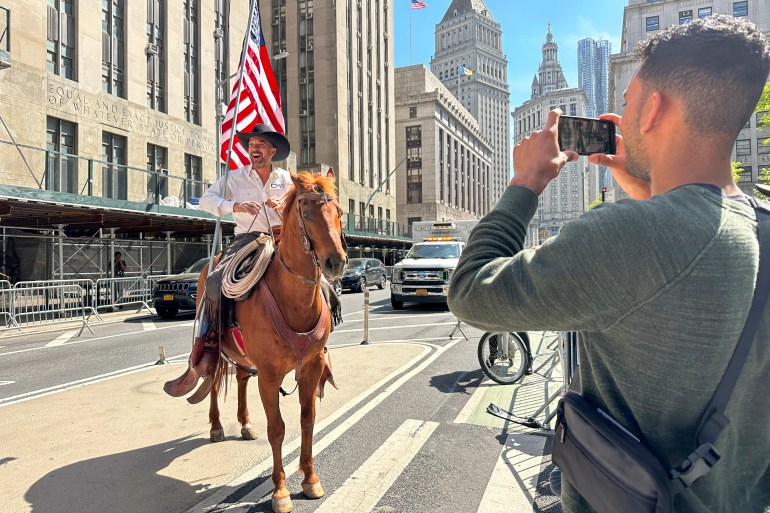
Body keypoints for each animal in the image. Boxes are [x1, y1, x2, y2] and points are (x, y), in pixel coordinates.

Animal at [198, 170, 344, 510]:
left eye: (340, 213)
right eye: (307, 214)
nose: (336, 262)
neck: (293, 297)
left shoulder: (312, 366)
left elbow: (307, 420)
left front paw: (310, 479)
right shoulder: (268, 374)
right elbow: (277, 429)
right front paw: (280, 491)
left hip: (241, 355)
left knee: (240, 379)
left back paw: (245, 424)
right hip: (218, 349)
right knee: (214, 384)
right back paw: (216, 426)